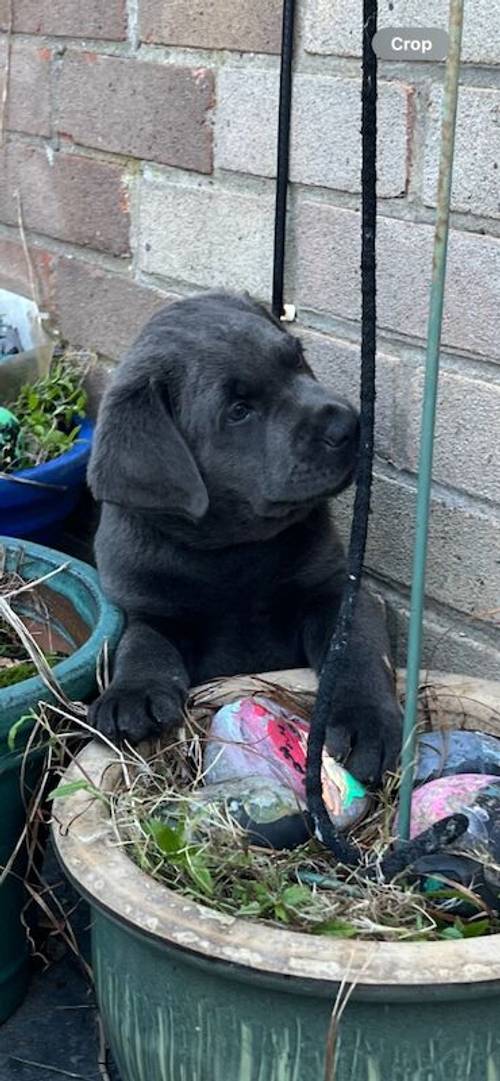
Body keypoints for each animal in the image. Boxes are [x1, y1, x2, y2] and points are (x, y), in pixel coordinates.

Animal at [88, 294, 401, 786]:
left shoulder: (338, 592)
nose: (348, 425)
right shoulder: (147, 608)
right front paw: (131, 695)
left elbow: (354, 651)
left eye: (298, 360)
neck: (231, 555)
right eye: (238, 411)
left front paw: (366, 721)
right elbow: (142, 645)